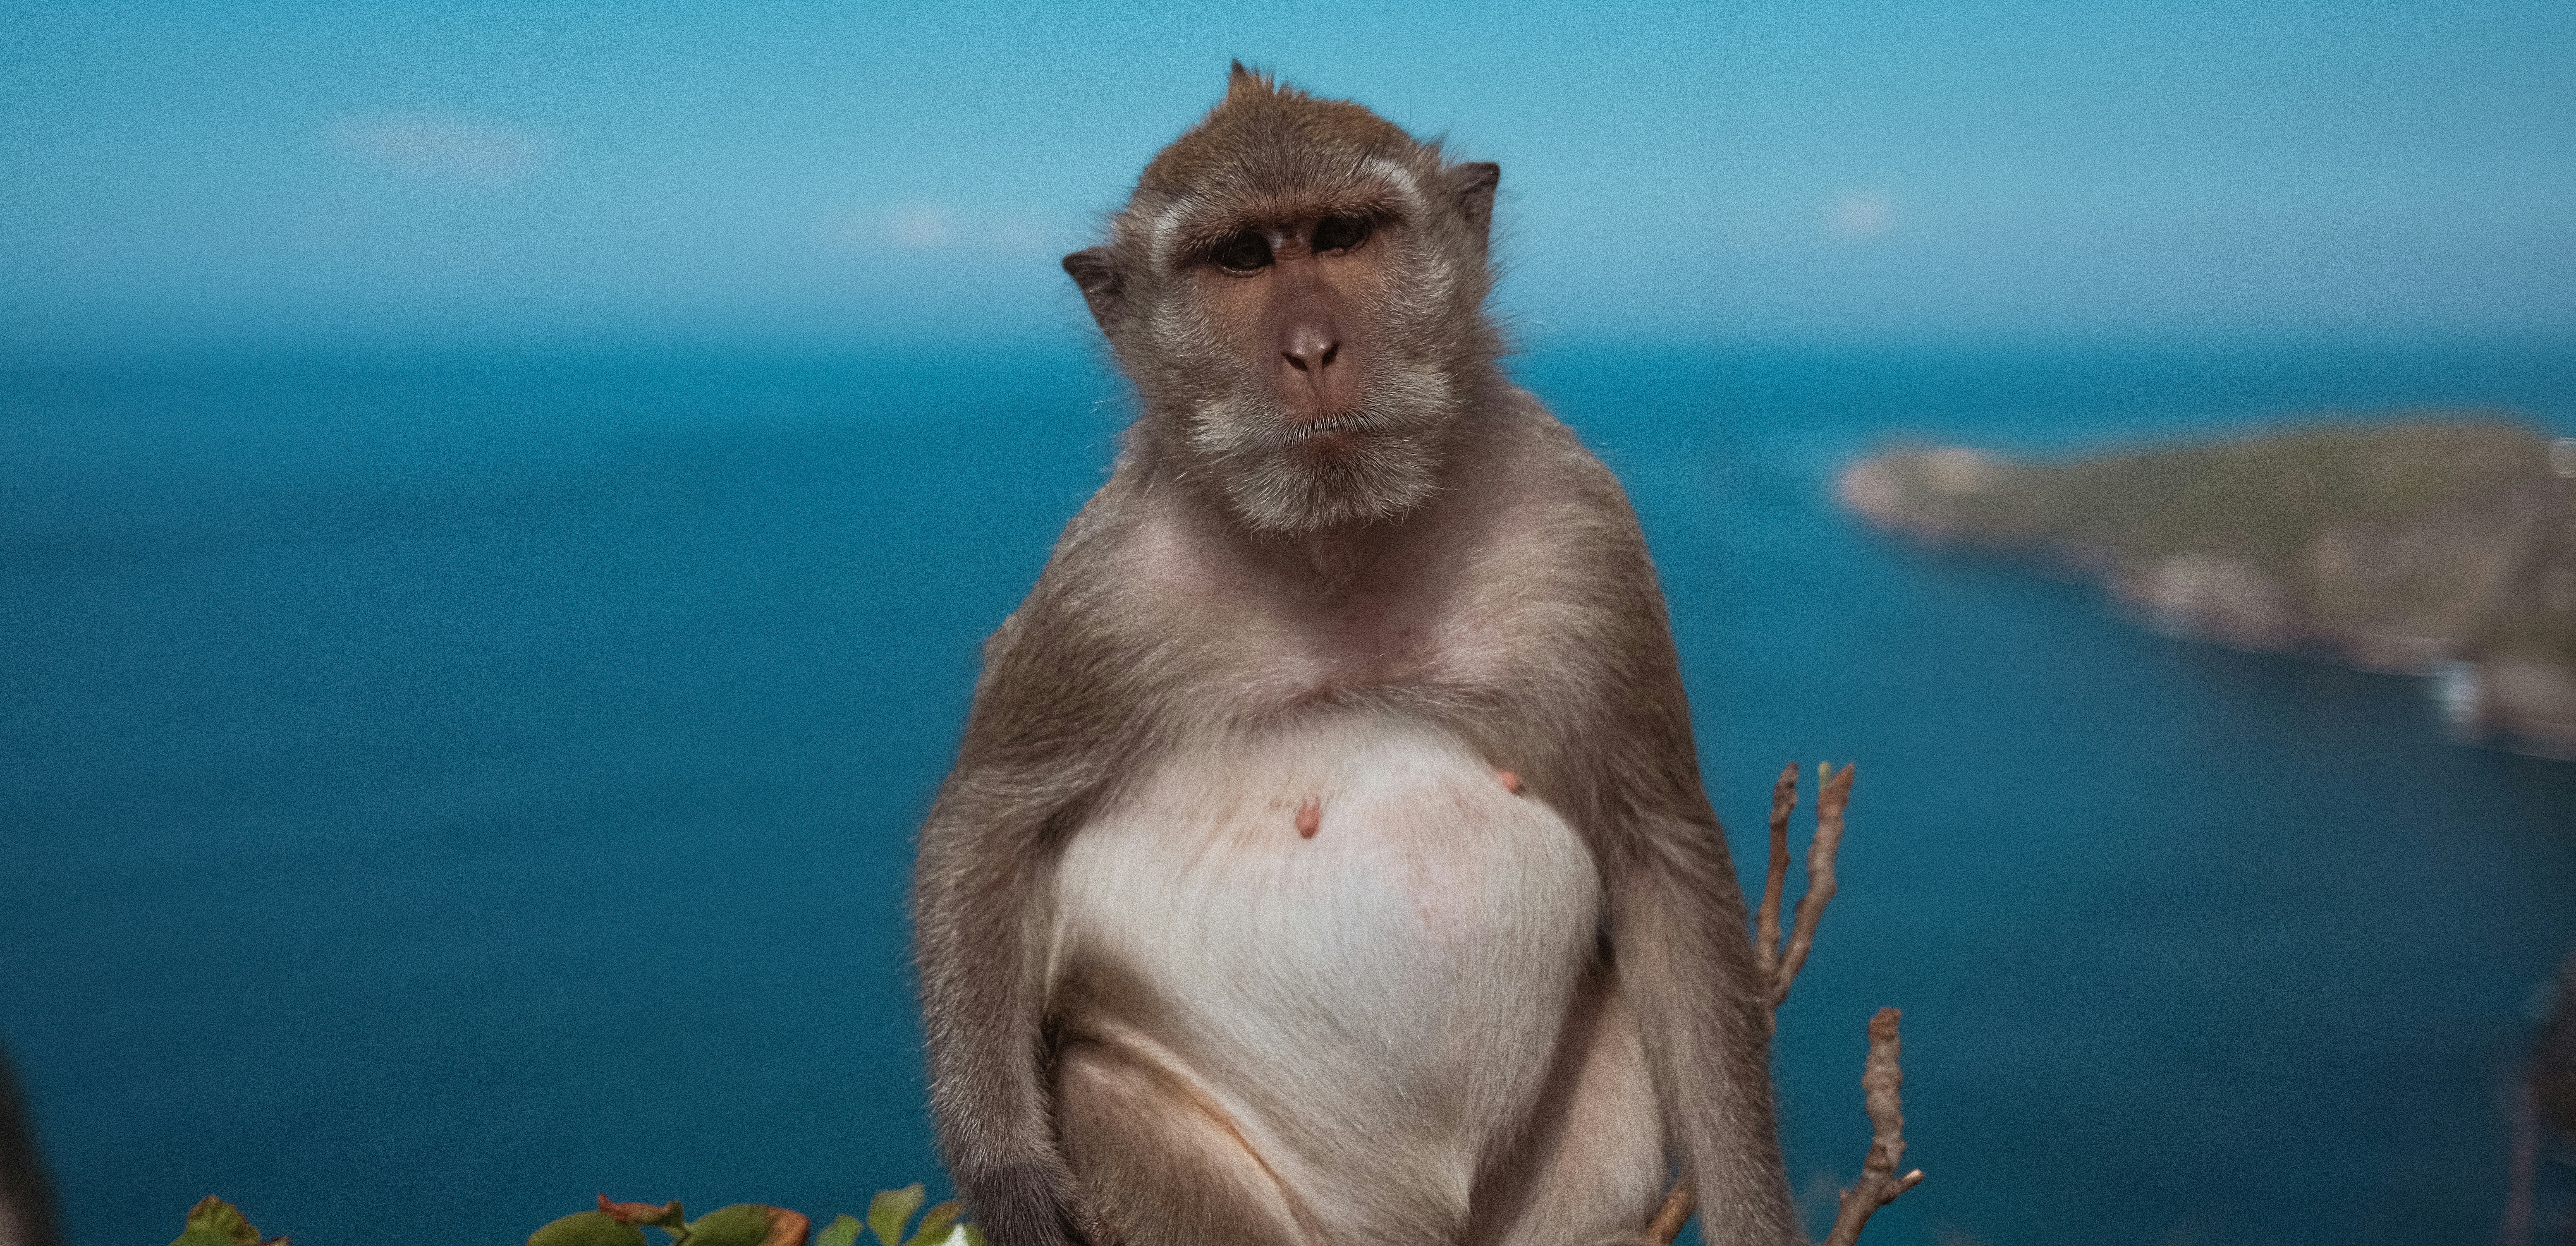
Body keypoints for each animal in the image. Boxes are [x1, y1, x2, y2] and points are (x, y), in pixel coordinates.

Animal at [911, 65, 1796, 1246]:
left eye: (1341, 236)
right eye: (1240, 259)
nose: (1311, 349)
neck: (1343, 545)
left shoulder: (1579, 528)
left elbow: (1662, 855)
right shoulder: (1106, 589)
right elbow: (987, 827)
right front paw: (1005, 1174)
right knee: (1100, 1093)